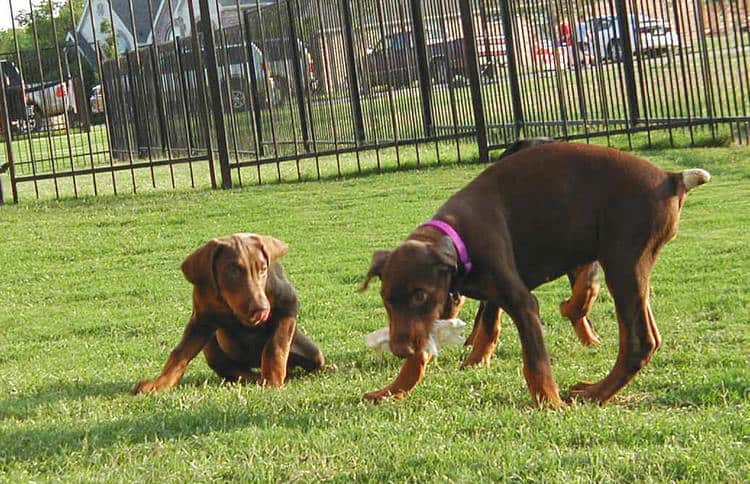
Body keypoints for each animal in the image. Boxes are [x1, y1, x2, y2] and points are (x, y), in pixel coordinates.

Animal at [132, 233, 326, 396]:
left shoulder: (288, 305)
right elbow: (179, 355)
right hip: (212, 350)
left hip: (310, 351)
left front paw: (273, 381)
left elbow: (275, 346)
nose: (262, 310)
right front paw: (160, 384)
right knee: (237, 372)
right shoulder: (201, 321)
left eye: (263, 269)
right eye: (232, 271)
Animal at [362, 142, 712, 406]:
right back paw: (594, 389)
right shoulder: (439, 311)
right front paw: (392, 390)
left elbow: (535, 361)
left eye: (420, 294)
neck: (458, 238)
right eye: (386, 300)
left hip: (624, 262)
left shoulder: (522, 302)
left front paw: (550, 404)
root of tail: (671, 178)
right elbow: (454, 336)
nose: (398, 350)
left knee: (639, 341)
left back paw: (592, 393)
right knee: (645, 338)